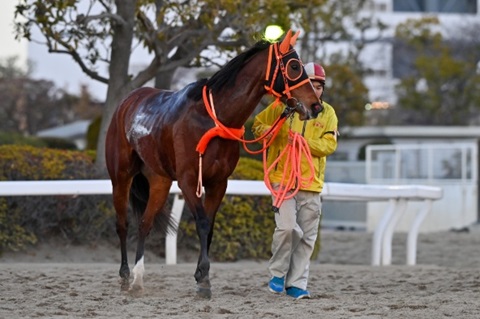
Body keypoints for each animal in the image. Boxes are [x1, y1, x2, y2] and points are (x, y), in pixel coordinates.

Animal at [105, 30, 322, 300]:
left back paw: (138, 278)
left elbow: (209, 227)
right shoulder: (189, 180)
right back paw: (125, 276)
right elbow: (202, 223)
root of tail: (128, 101)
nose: (316, 106)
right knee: (122, 224)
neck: (213, 121)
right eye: (294, 66)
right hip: (120, 176)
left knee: (145, 223)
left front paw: (201, 276)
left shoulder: (219, 182)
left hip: (159, 180)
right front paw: (204, 280)